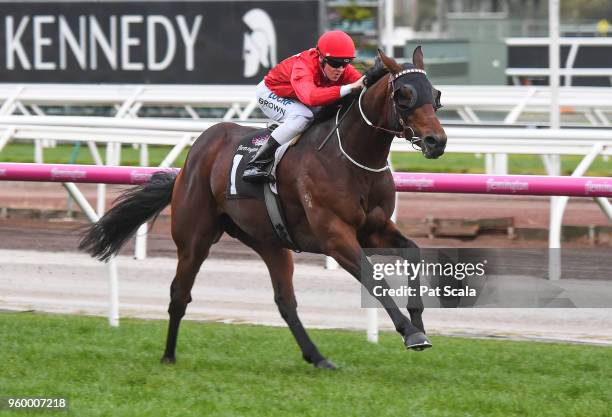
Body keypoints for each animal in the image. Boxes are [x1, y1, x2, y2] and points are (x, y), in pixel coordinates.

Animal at [80, 47, 444, 368]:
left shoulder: (373, 229)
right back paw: (168, 356)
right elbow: (373, 278)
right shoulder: (335, 236)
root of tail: (190, 161)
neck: (351, 157)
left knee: (285, 301)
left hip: (269, 241)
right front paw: (411, 333)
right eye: (404, 95)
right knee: (179, 293)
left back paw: (318, 357)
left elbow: (413, 251)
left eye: (436, 94)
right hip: (194, 238)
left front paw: (419, 323)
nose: (436, 141)